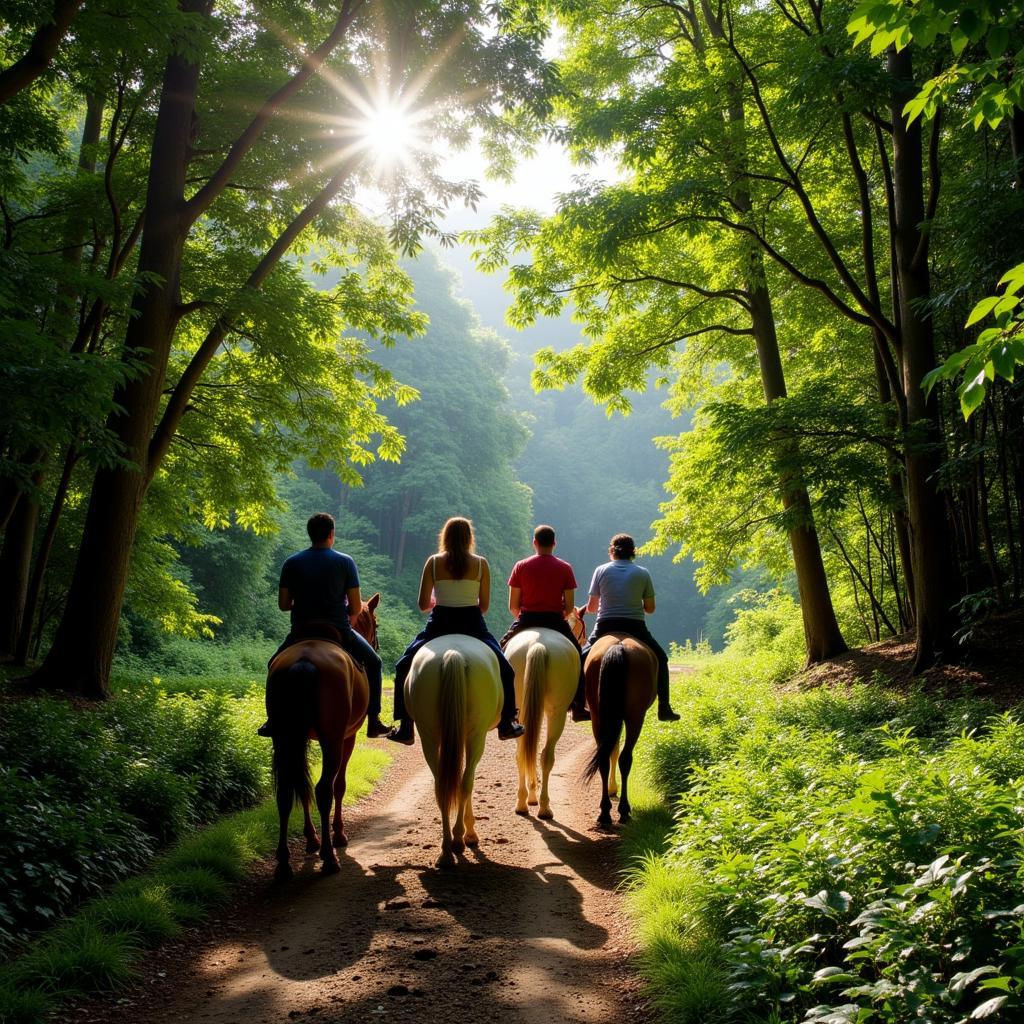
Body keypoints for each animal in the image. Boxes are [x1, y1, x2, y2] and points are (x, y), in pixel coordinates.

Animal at [268, 593, 380, 880]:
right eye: (377, 624)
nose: (376, 642)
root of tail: (304, 661)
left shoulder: (304, 738)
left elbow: (302, 785)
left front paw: (311, 838)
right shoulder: (347, 738)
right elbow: (339, 785)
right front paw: (338, 834)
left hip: (284, 737)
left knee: (287, 791)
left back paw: (284, 863)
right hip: (332, 740)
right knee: (323, 790)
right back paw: (329, 857)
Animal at [407, 634, 503, 868]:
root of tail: (454, 654)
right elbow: (467, 780)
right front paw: (470, 833)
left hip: (428, 734)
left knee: (441, 786)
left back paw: (446, 852)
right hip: (476, 735)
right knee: (466, 782)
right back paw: (459, 839)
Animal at [505, 626, 585, 819]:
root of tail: (538, 645)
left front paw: (531, 796)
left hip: (522, 710)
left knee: (522, 753)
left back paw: (522, 804)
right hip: (557, 713)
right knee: (546, 756)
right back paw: (544, 807)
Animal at [577, 606, 655, 823]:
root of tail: (618, 646)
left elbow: (610, 748)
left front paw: (611, 789)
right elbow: (616, 750)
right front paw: (614, 789)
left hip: (598, 715)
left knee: (603, 756)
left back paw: (604, 812)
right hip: (635, 716)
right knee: (625, 758)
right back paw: (623, 810)